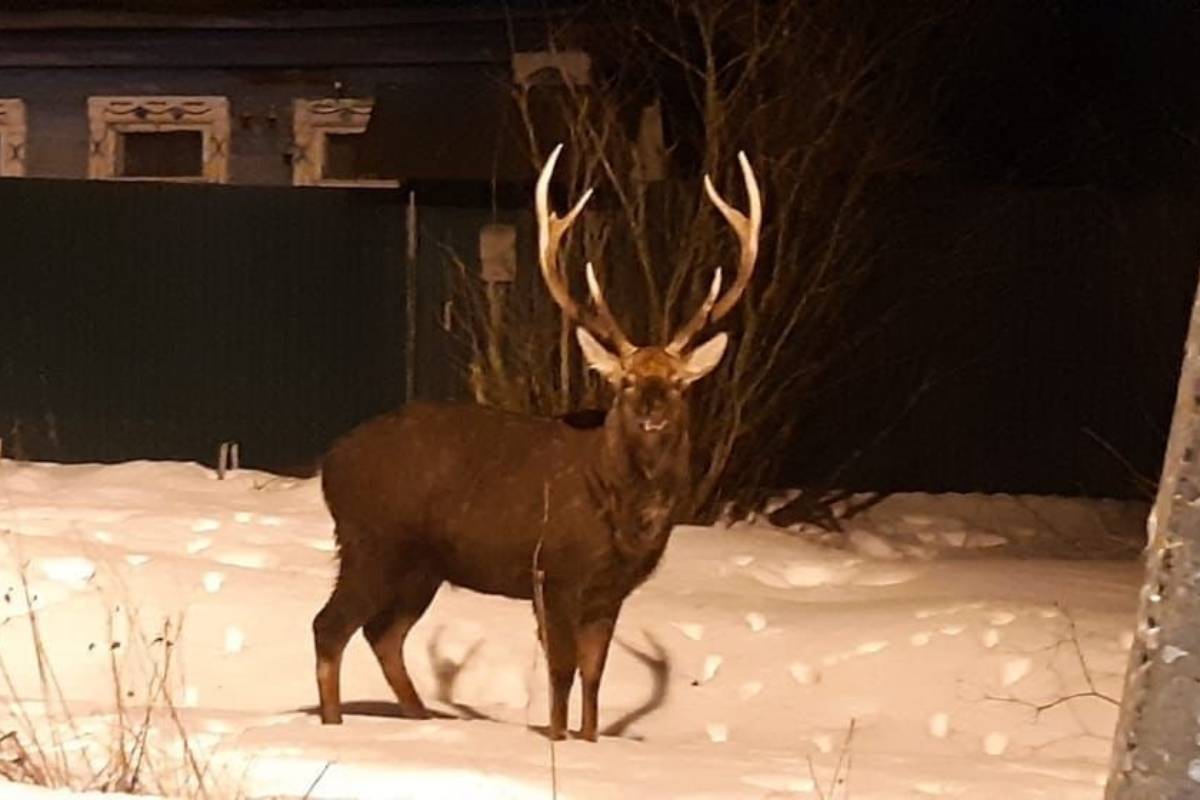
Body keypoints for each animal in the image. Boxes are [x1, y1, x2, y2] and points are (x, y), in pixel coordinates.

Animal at [309, 142, 758, 738]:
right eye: (625, 381)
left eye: (679, 383)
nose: (652, 411)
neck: (623, 511)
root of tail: (331, 462)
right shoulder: (555, 573)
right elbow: (562, 672)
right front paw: (557, 738)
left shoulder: (609, 592)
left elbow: (594, 676)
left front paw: (589, 739)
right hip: (371, 540)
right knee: (330, 626)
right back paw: (335, 726)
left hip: (422, 565)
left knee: (384, 634)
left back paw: (421, 721)